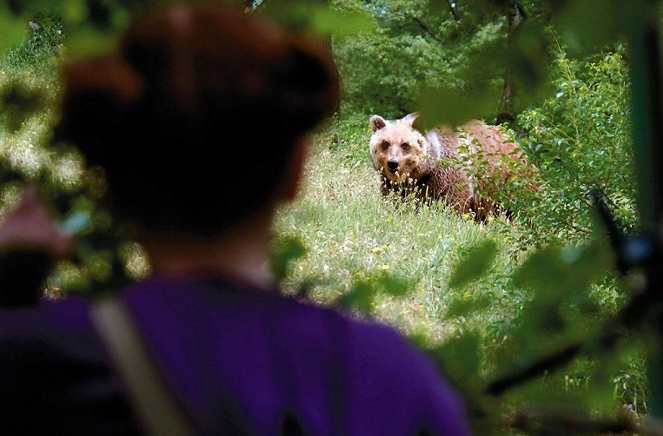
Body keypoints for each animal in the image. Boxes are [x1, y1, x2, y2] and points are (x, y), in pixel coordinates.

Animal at [370, 112, 536, 218]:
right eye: (385, 143)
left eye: (405, 144)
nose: (393, 163)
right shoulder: (394, 184)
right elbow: (394, 200)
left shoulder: (449, 172)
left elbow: (453, 202)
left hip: (514, 181)